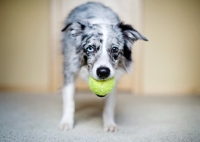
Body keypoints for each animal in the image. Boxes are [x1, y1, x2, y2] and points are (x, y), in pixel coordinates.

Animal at [58, 1, 148, 132]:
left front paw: (109, 124)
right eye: (90, 48)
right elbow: (69, 99)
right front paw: (66, 122)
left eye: (114, 49)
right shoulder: (69, 70)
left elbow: (109, 106)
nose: (103, 72)